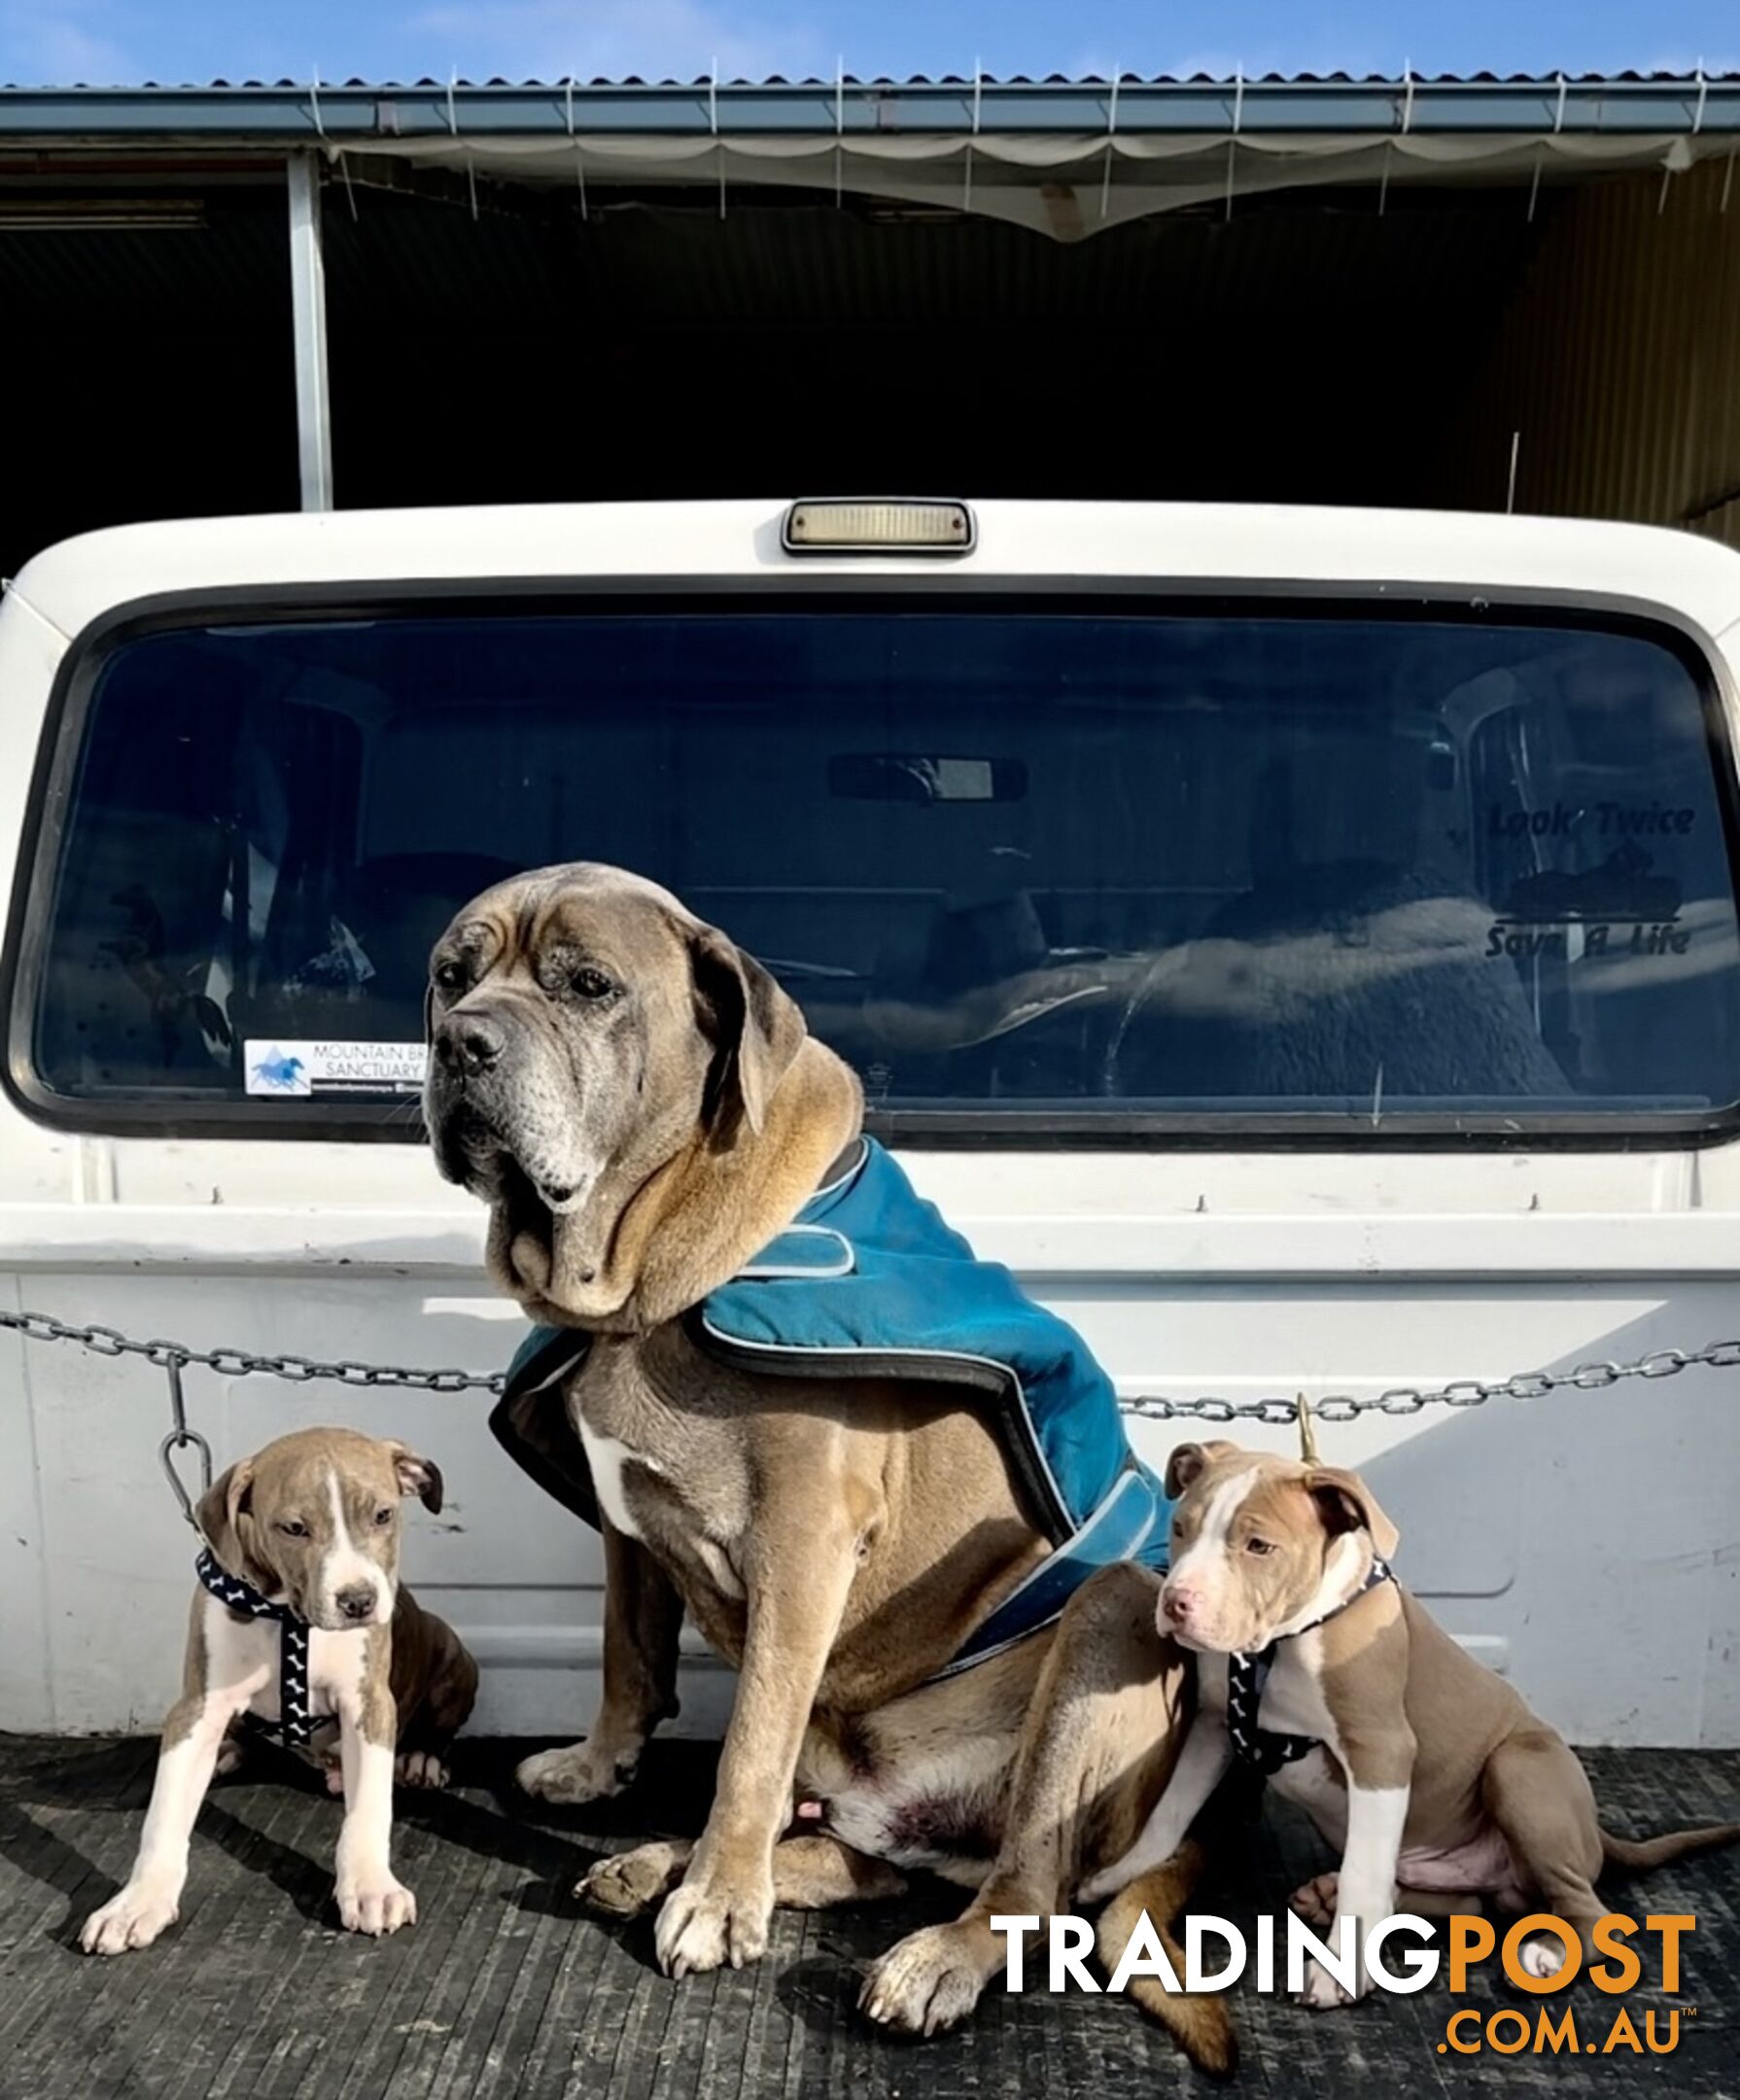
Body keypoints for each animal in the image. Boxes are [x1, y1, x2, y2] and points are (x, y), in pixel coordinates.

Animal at [424, 864, 1225, 2066]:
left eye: (588, 986)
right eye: (449, 976)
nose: (461, 1041)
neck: (649, 1269)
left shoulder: (801, 1545)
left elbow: (744, 1744)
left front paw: (716, 1905)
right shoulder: (626, 1527)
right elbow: (625, 1653)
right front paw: (599, 1772)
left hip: (1110, 1620)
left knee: (1022, 1889)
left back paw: (918, 1954)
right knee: (853, 1861)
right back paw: (653, 1864)